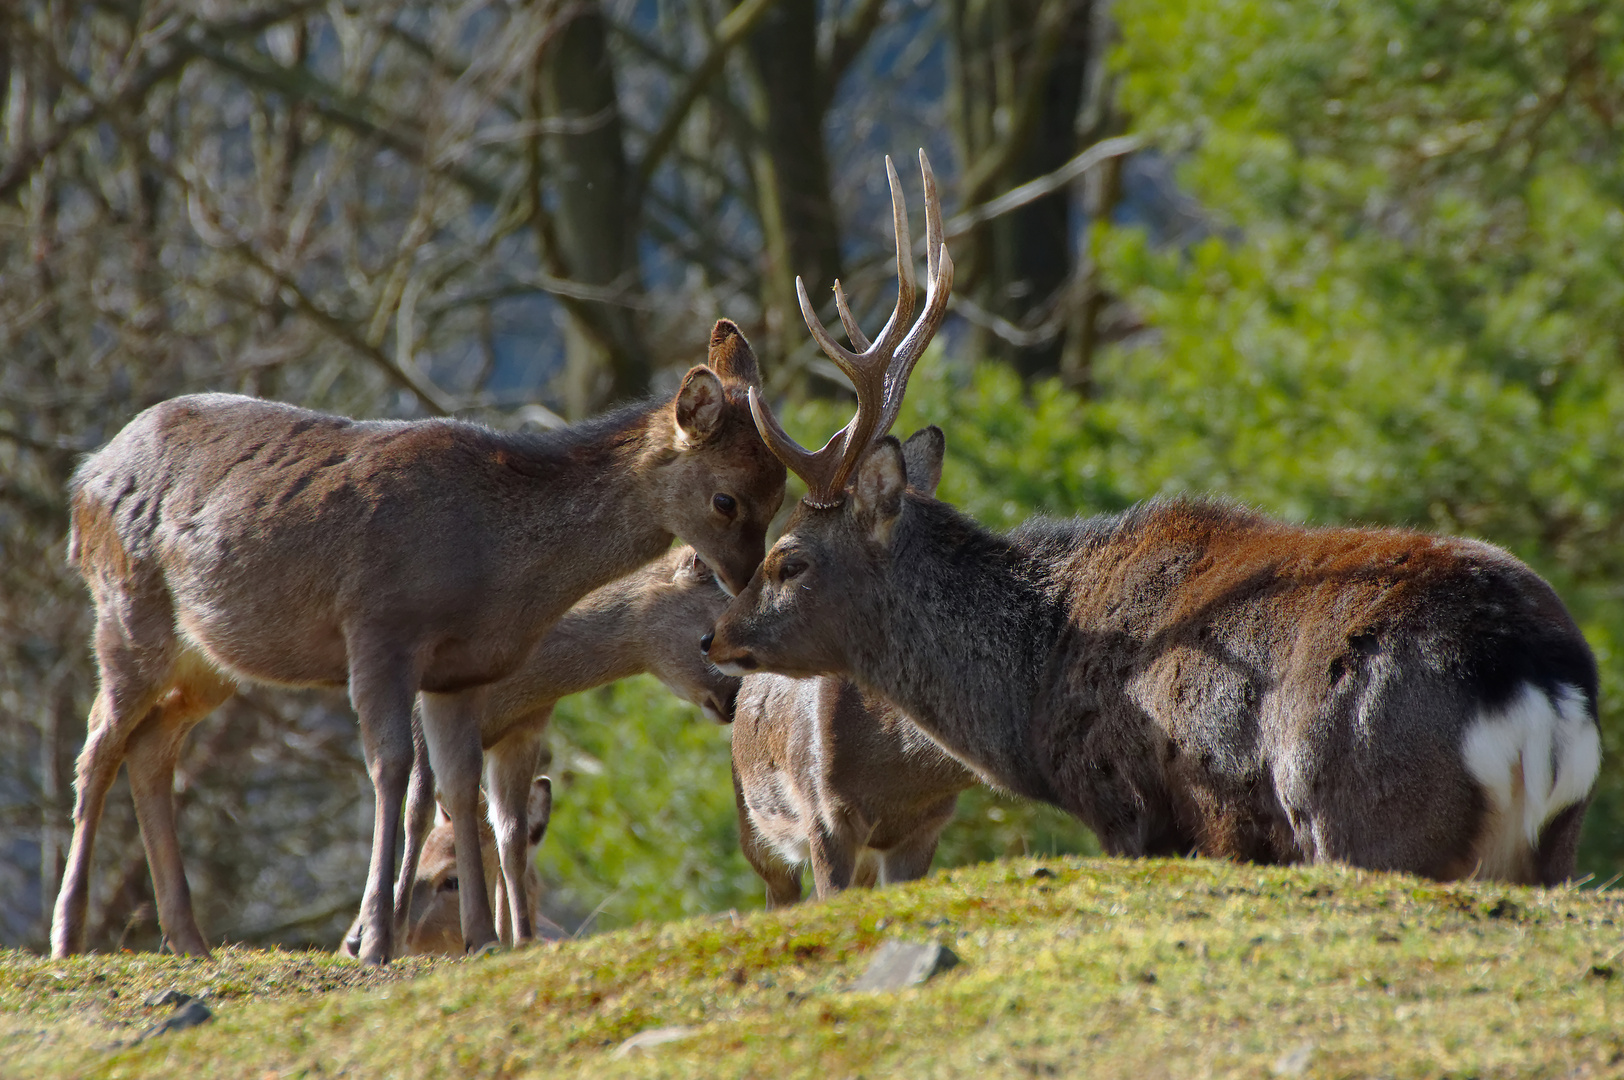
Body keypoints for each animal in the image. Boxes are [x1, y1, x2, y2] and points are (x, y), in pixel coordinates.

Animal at [53, 319, 782, 961]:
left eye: (777, 495)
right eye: (726, 499)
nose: (749, 586)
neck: (495, 561)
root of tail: (83, 478)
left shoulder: (461, 675)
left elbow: (463, 797)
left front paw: (484, 939)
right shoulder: (380, 630)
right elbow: (395, 776)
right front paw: (375, 940)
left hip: (211, 660)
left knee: (152, 747)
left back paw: (188, 939)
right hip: (124, 609)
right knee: (97, 746)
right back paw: (69, 935)